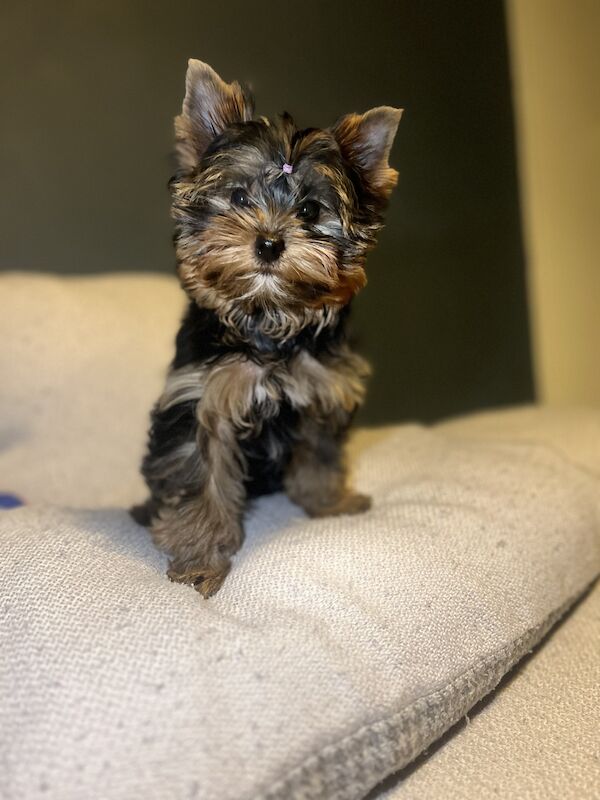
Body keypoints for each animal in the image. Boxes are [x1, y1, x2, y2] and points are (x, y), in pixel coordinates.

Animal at [134, 59, 400, 592]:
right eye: (238, 197)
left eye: (310, 210)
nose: (270, 242)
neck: (267, 316)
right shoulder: (203, 400)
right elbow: (201, 480)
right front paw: (199, 561)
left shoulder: (322, 389)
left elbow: (319, 454)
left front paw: (329, 504)